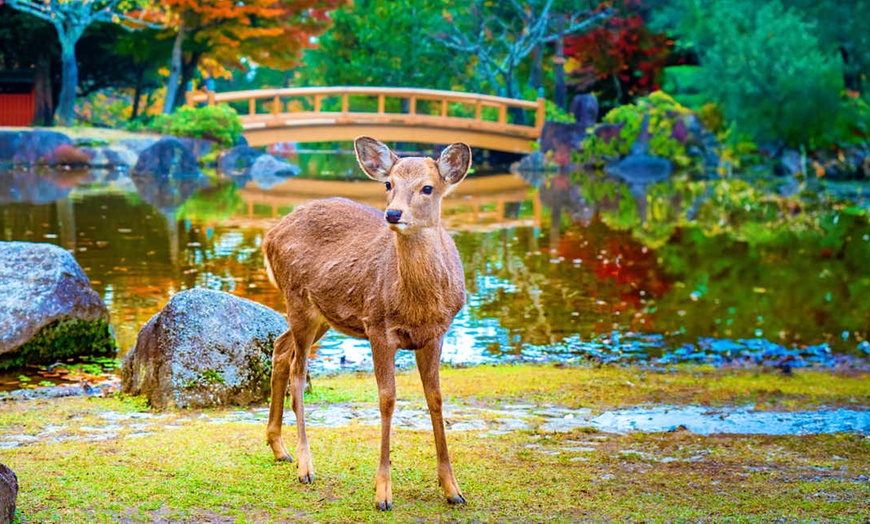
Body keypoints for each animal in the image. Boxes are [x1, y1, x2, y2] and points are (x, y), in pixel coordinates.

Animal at [262, 134, 474, 508]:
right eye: (389, 184)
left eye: (428, 187)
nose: (393, 213)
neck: (417, 305)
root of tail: (268, 237)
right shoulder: (378, 326)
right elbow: (387, 399)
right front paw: (383, 493)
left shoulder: (437, 332)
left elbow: (435, 398)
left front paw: (452, 489)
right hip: (298, 300)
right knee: (298, 373)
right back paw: (304, 465)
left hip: (321, 316)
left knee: (280, 346)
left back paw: (278, 448)